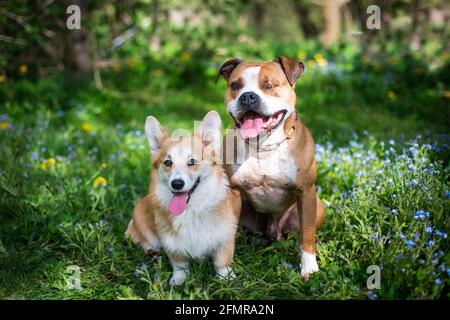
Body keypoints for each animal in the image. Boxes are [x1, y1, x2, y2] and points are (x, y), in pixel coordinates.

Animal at [125, 112, 241, 284]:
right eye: (168, 162)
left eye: (192, 161)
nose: (177, 183)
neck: (190, 210)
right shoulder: (170, 243)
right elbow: (179, 265)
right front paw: (178, 281)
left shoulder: (225, 235)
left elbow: (222, 260)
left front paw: (226, 277)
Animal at [217, 55, 324, 280]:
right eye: (235, 85)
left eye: (269, 85)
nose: (247, 97)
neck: (263, 146)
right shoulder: (232, 193)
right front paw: (224, 271)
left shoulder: (305, 191)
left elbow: (307, 235)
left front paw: (309, 268)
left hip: (317, 207)